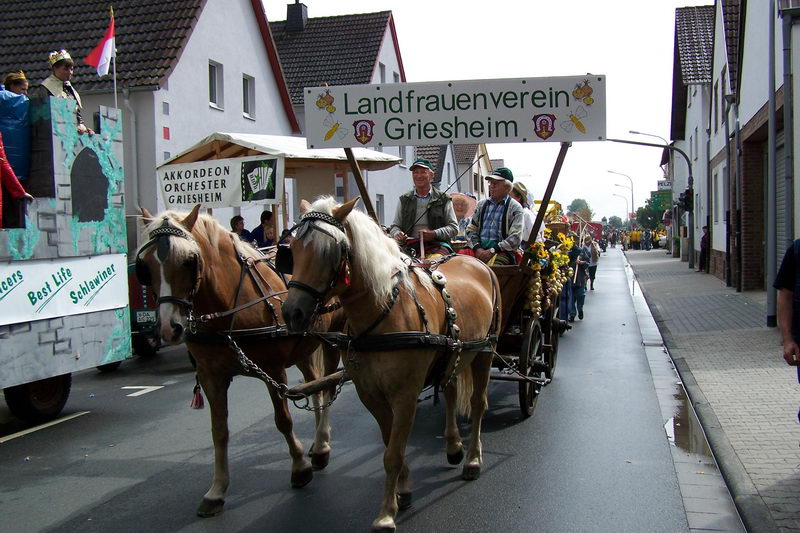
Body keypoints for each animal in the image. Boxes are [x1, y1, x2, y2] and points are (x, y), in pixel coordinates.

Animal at [134, 206, 340, 516]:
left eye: (189, 260)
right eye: (145, 266)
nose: (170, 328)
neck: (228, 309)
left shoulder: (273, 370)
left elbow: (283, 420)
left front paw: (299, 467)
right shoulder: (211, 377)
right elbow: (219, 431)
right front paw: (216, 490)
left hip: (333, 340)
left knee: (326, 386)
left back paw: (323, 444)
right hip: (304, 347)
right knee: (315, 383)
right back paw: (317, 444)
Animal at [278, 197, 496, 528]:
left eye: (330, 251)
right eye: (293, 250)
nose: (292, 313)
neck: (385, 313)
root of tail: (478, 262)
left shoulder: (404, 395)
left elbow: (393, 453)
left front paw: (385, 514)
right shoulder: (370, 394)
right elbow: (389, 442)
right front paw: (402, 491)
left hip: (484, 352)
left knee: (477, 403)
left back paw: (472, 459)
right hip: (453, 353)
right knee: (450, 391)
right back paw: (454, 446)